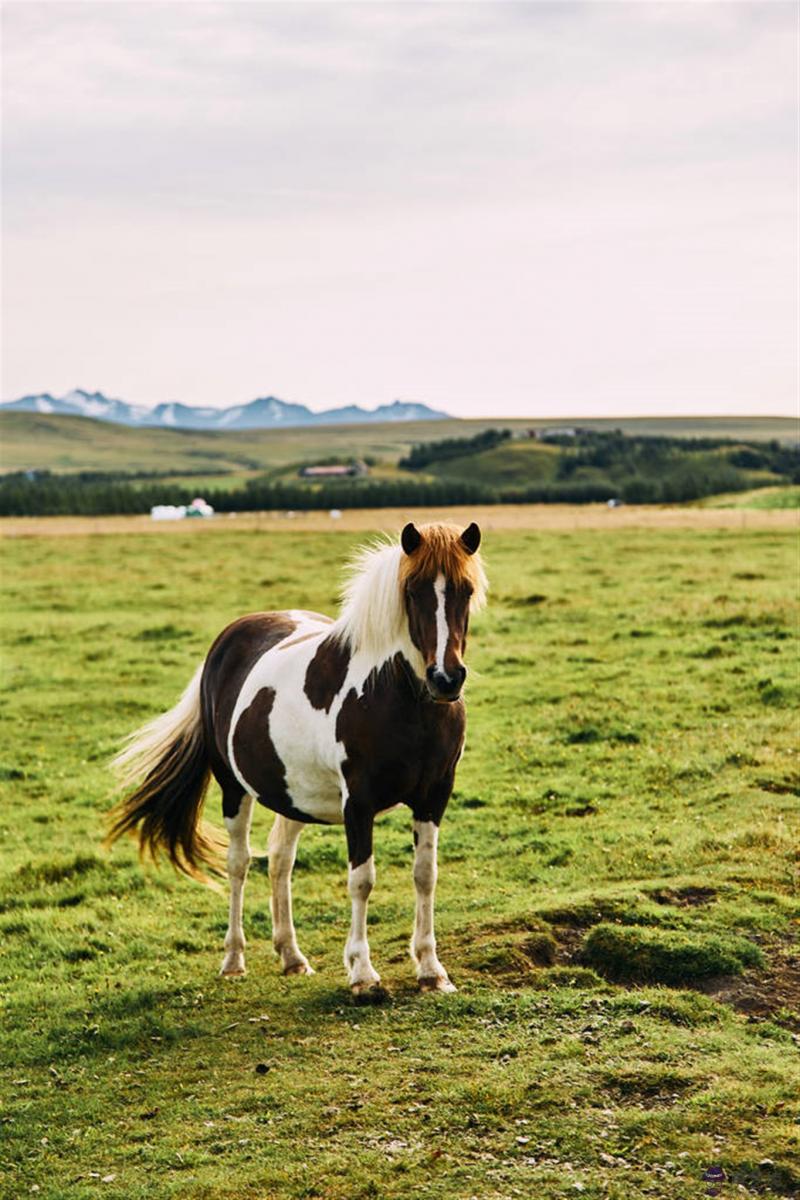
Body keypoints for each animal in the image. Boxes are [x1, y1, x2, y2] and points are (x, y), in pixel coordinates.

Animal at [107, 520, 489, 998]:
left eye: (466, 589)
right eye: (413, 590)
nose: (446, 678)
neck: (400, 697)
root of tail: (227, 640)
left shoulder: (434, 795)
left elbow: (425, 874)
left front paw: (431, 969)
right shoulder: (357, 802)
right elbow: (362, 880)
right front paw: (363, 974)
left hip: (291, 794)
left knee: (280, 861)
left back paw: (291, 956)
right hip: (233, 788)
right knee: (239, 864)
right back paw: (233, 960)